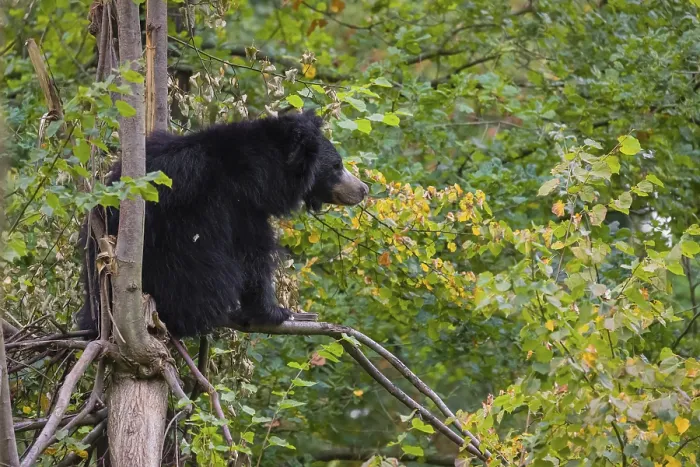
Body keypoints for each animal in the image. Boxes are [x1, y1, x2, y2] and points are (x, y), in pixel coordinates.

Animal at [76, 110, 368, 337]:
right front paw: (273, 310)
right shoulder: (235, 203)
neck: (262, 173)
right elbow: (253, 254)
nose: (363, 189)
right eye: (337, 166)